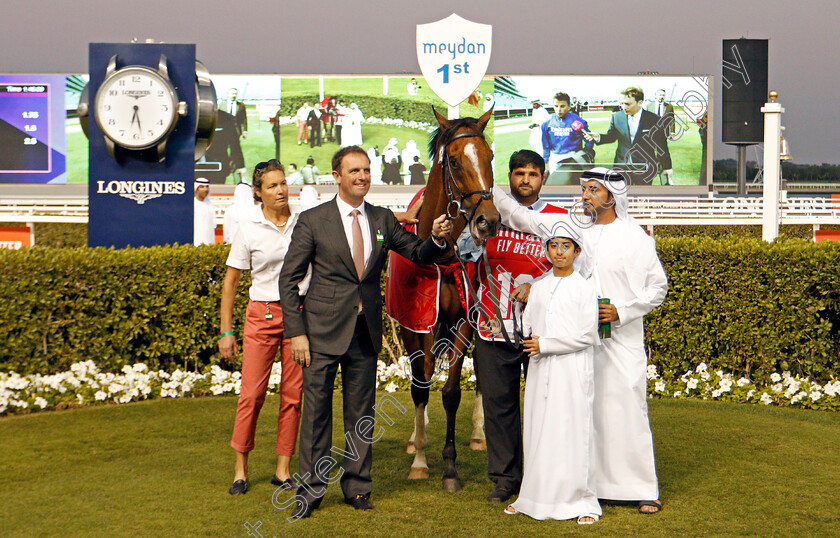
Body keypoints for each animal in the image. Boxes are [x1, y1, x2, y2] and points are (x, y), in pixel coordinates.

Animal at [386, 105, 498, 490]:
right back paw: (413, 439)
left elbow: (450, 392)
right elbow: (420, 387)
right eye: (452, 160)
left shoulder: (463, 319)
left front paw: (450, 468)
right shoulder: (414, 323)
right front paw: (420, 459)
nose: (488, 220)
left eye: (489, 156)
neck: (440, 257)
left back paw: (479, 435)